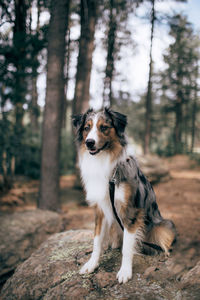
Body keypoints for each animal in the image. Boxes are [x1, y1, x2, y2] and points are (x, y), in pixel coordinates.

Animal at [72, 108, 177, 284]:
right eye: (87, 127)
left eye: (104, 127)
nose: (89, 142)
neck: (104, 161)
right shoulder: (100, 209)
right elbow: (97, 241)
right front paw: (92, 264)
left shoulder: (131, 211)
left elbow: (127, 247)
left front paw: (125, 271)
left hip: (164, 226)